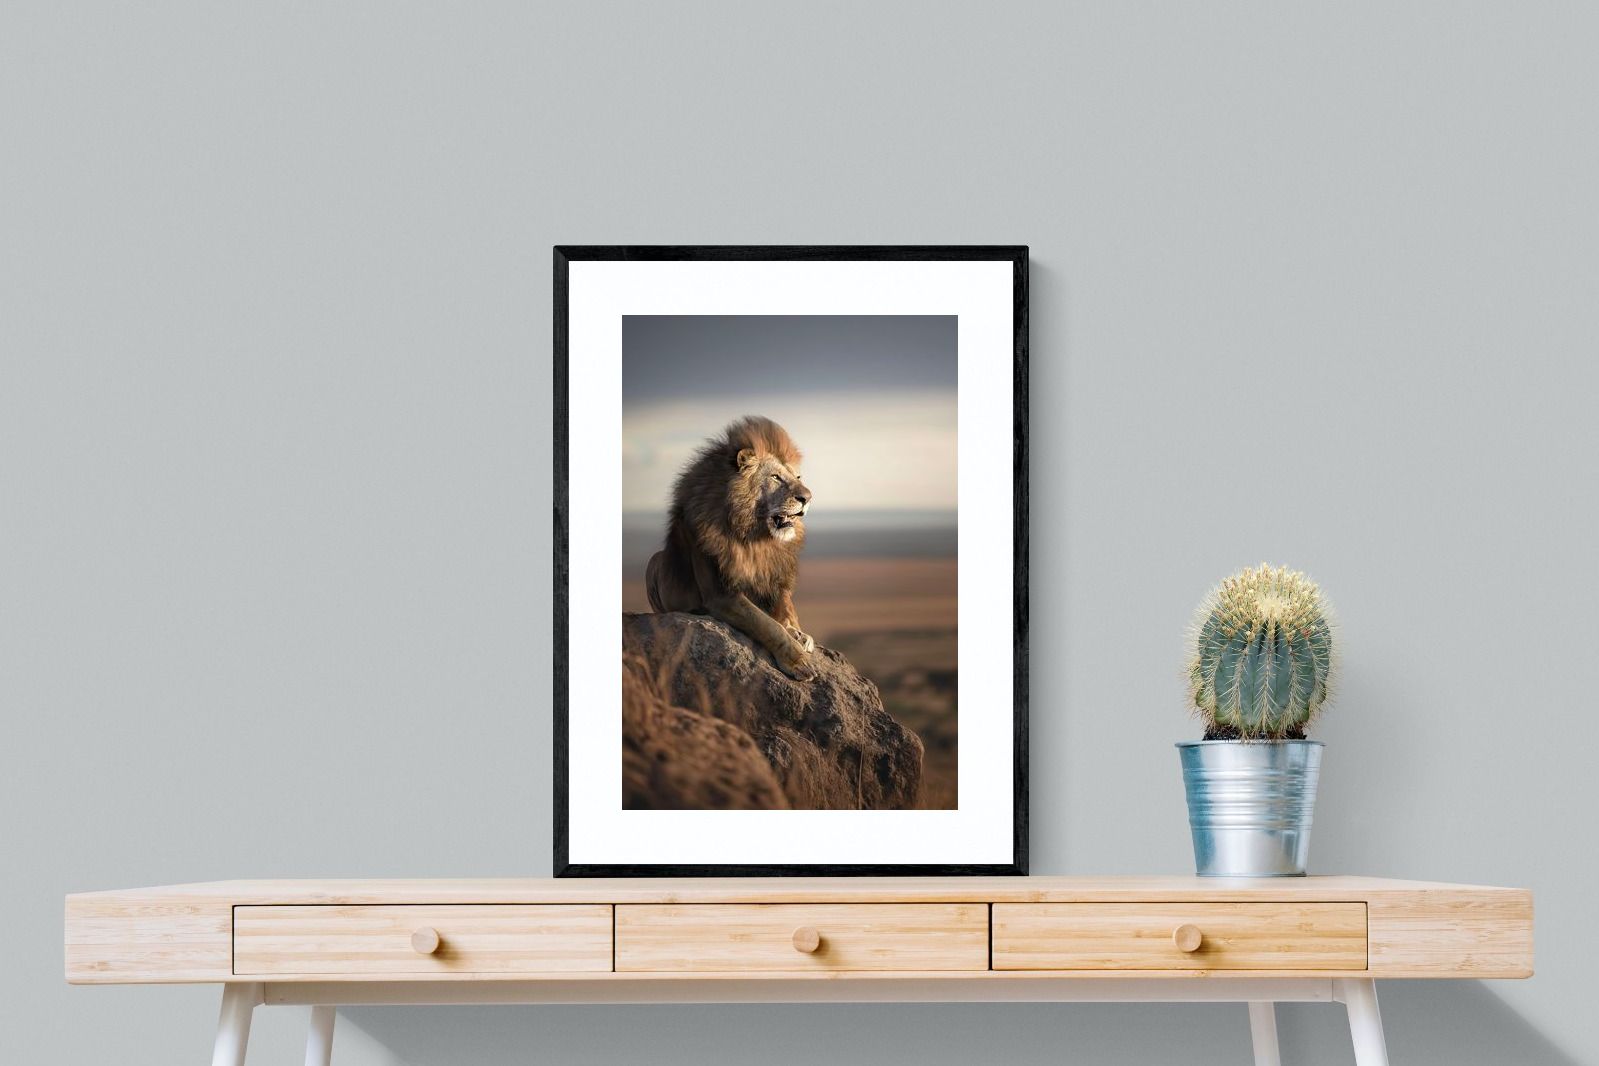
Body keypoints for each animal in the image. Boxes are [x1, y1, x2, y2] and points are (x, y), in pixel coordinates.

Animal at [645, 415, 817, 681]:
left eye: (797, 478)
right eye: (775, 477)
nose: (807, 498)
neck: (755, 536)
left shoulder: (775, 577)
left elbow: (785, 610)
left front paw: (798, 633)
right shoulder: (721, 595)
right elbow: (767, 624)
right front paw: (797, 660)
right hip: (653, 563)